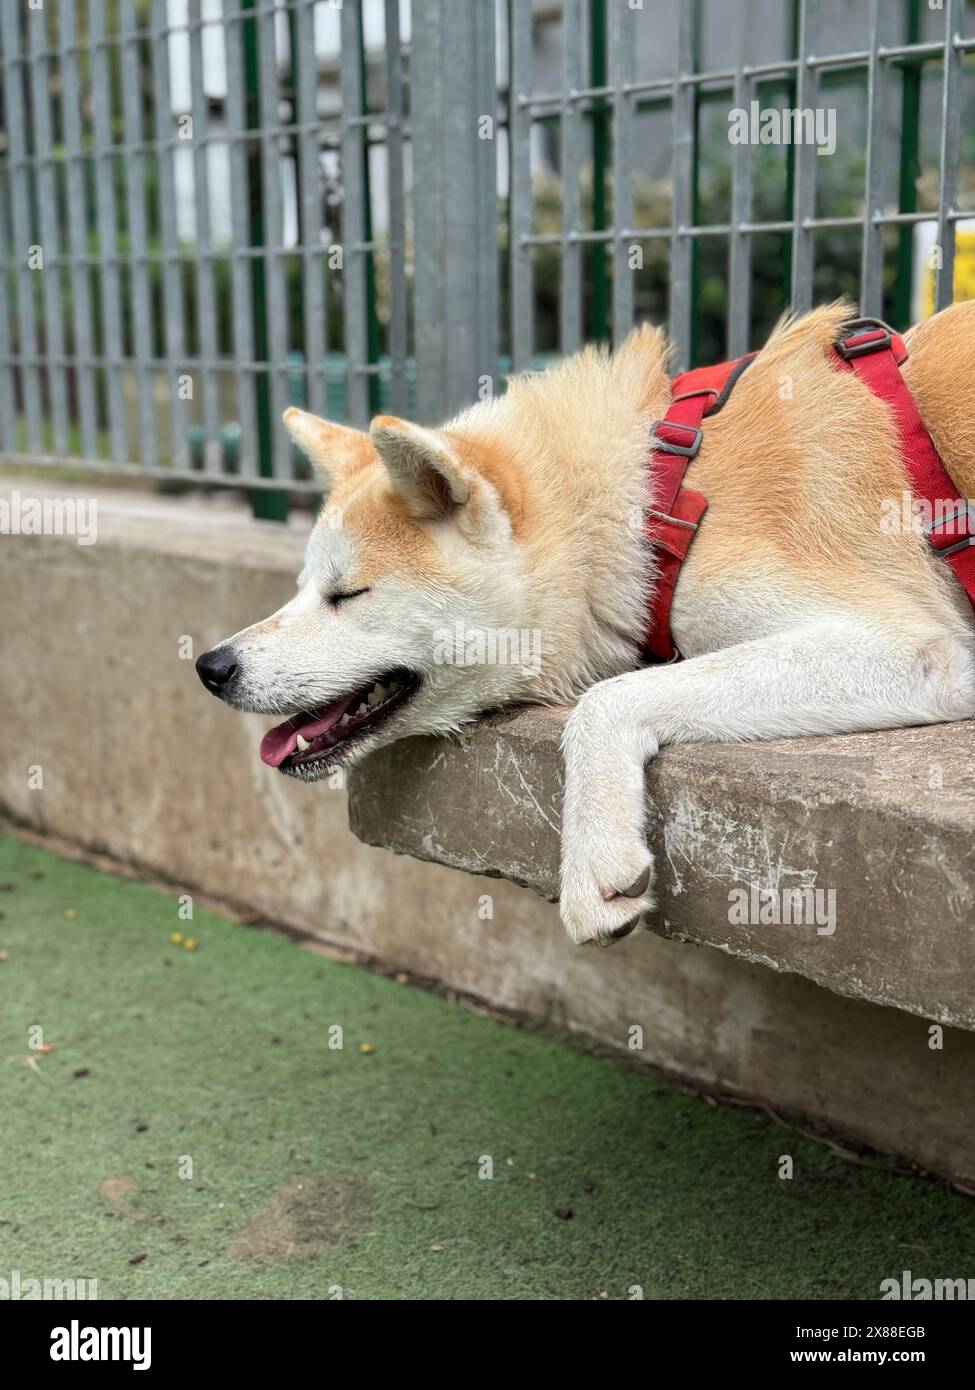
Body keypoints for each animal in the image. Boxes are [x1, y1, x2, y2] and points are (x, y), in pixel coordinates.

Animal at [196, 301, 973, 945]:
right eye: (302, 589)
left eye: (348, 594)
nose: (211, 666)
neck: (659, 497)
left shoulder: (914, 647)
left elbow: (603, 702)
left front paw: (594, 858)